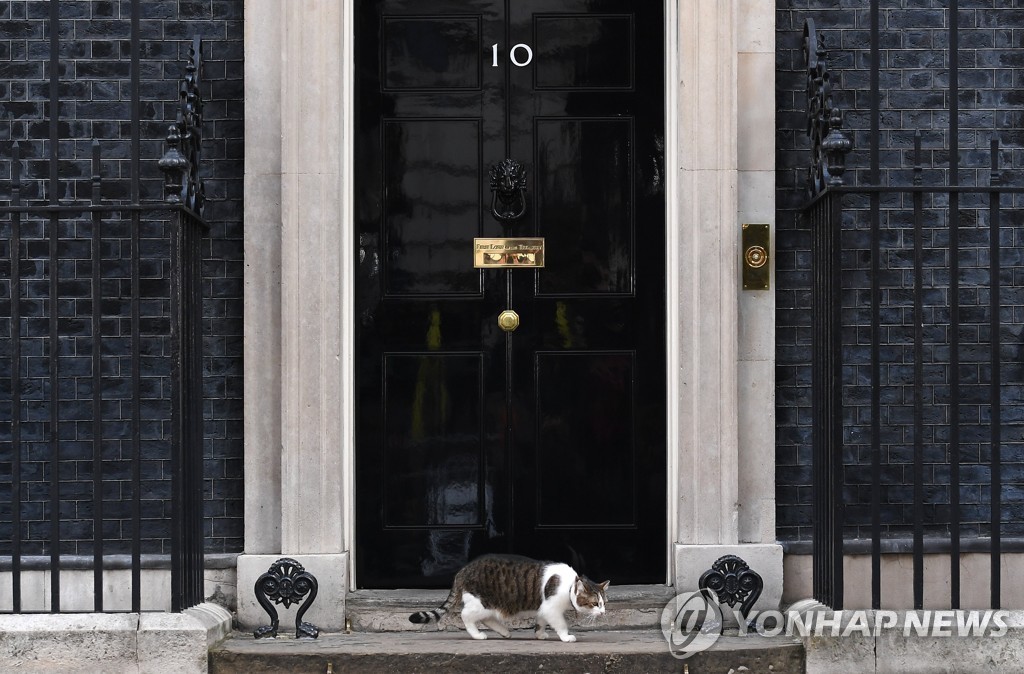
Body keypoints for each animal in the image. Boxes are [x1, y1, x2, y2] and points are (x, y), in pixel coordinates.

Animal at [407, 553, 606, 639]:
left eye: (604, 603)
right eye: (595, 604)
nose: (603, 613)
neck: (569, 585)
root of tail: (462, 570)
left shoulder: (544, 609)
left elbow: (540, 622)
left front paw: (539, 634)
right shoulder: (552, 609)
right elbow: (561, 624)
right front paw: (566, 637)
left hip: (487, 605)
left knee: (486, 618)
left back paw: (504, 632)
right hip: (482, 602)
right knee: (466, 615)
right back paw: (477, 635)